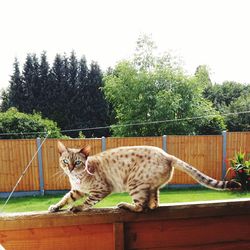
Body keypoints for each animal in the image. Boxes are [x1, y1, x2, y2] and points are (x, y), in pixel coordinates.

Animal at [47, 141, 241, 213]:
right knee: (153, 203)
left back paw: (124, 205)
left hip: (134, 184)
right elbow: (65, 198)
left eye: (78, 162)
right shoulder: (76, 190)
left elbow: (87, 202)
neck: (77, 178)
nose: (70, 168)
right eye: (65, 161)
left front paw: (76, 208)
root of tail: (167, 155)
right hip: (150, 186)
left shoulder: (100, 190)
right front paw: (55, 207)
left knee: (140, 207)